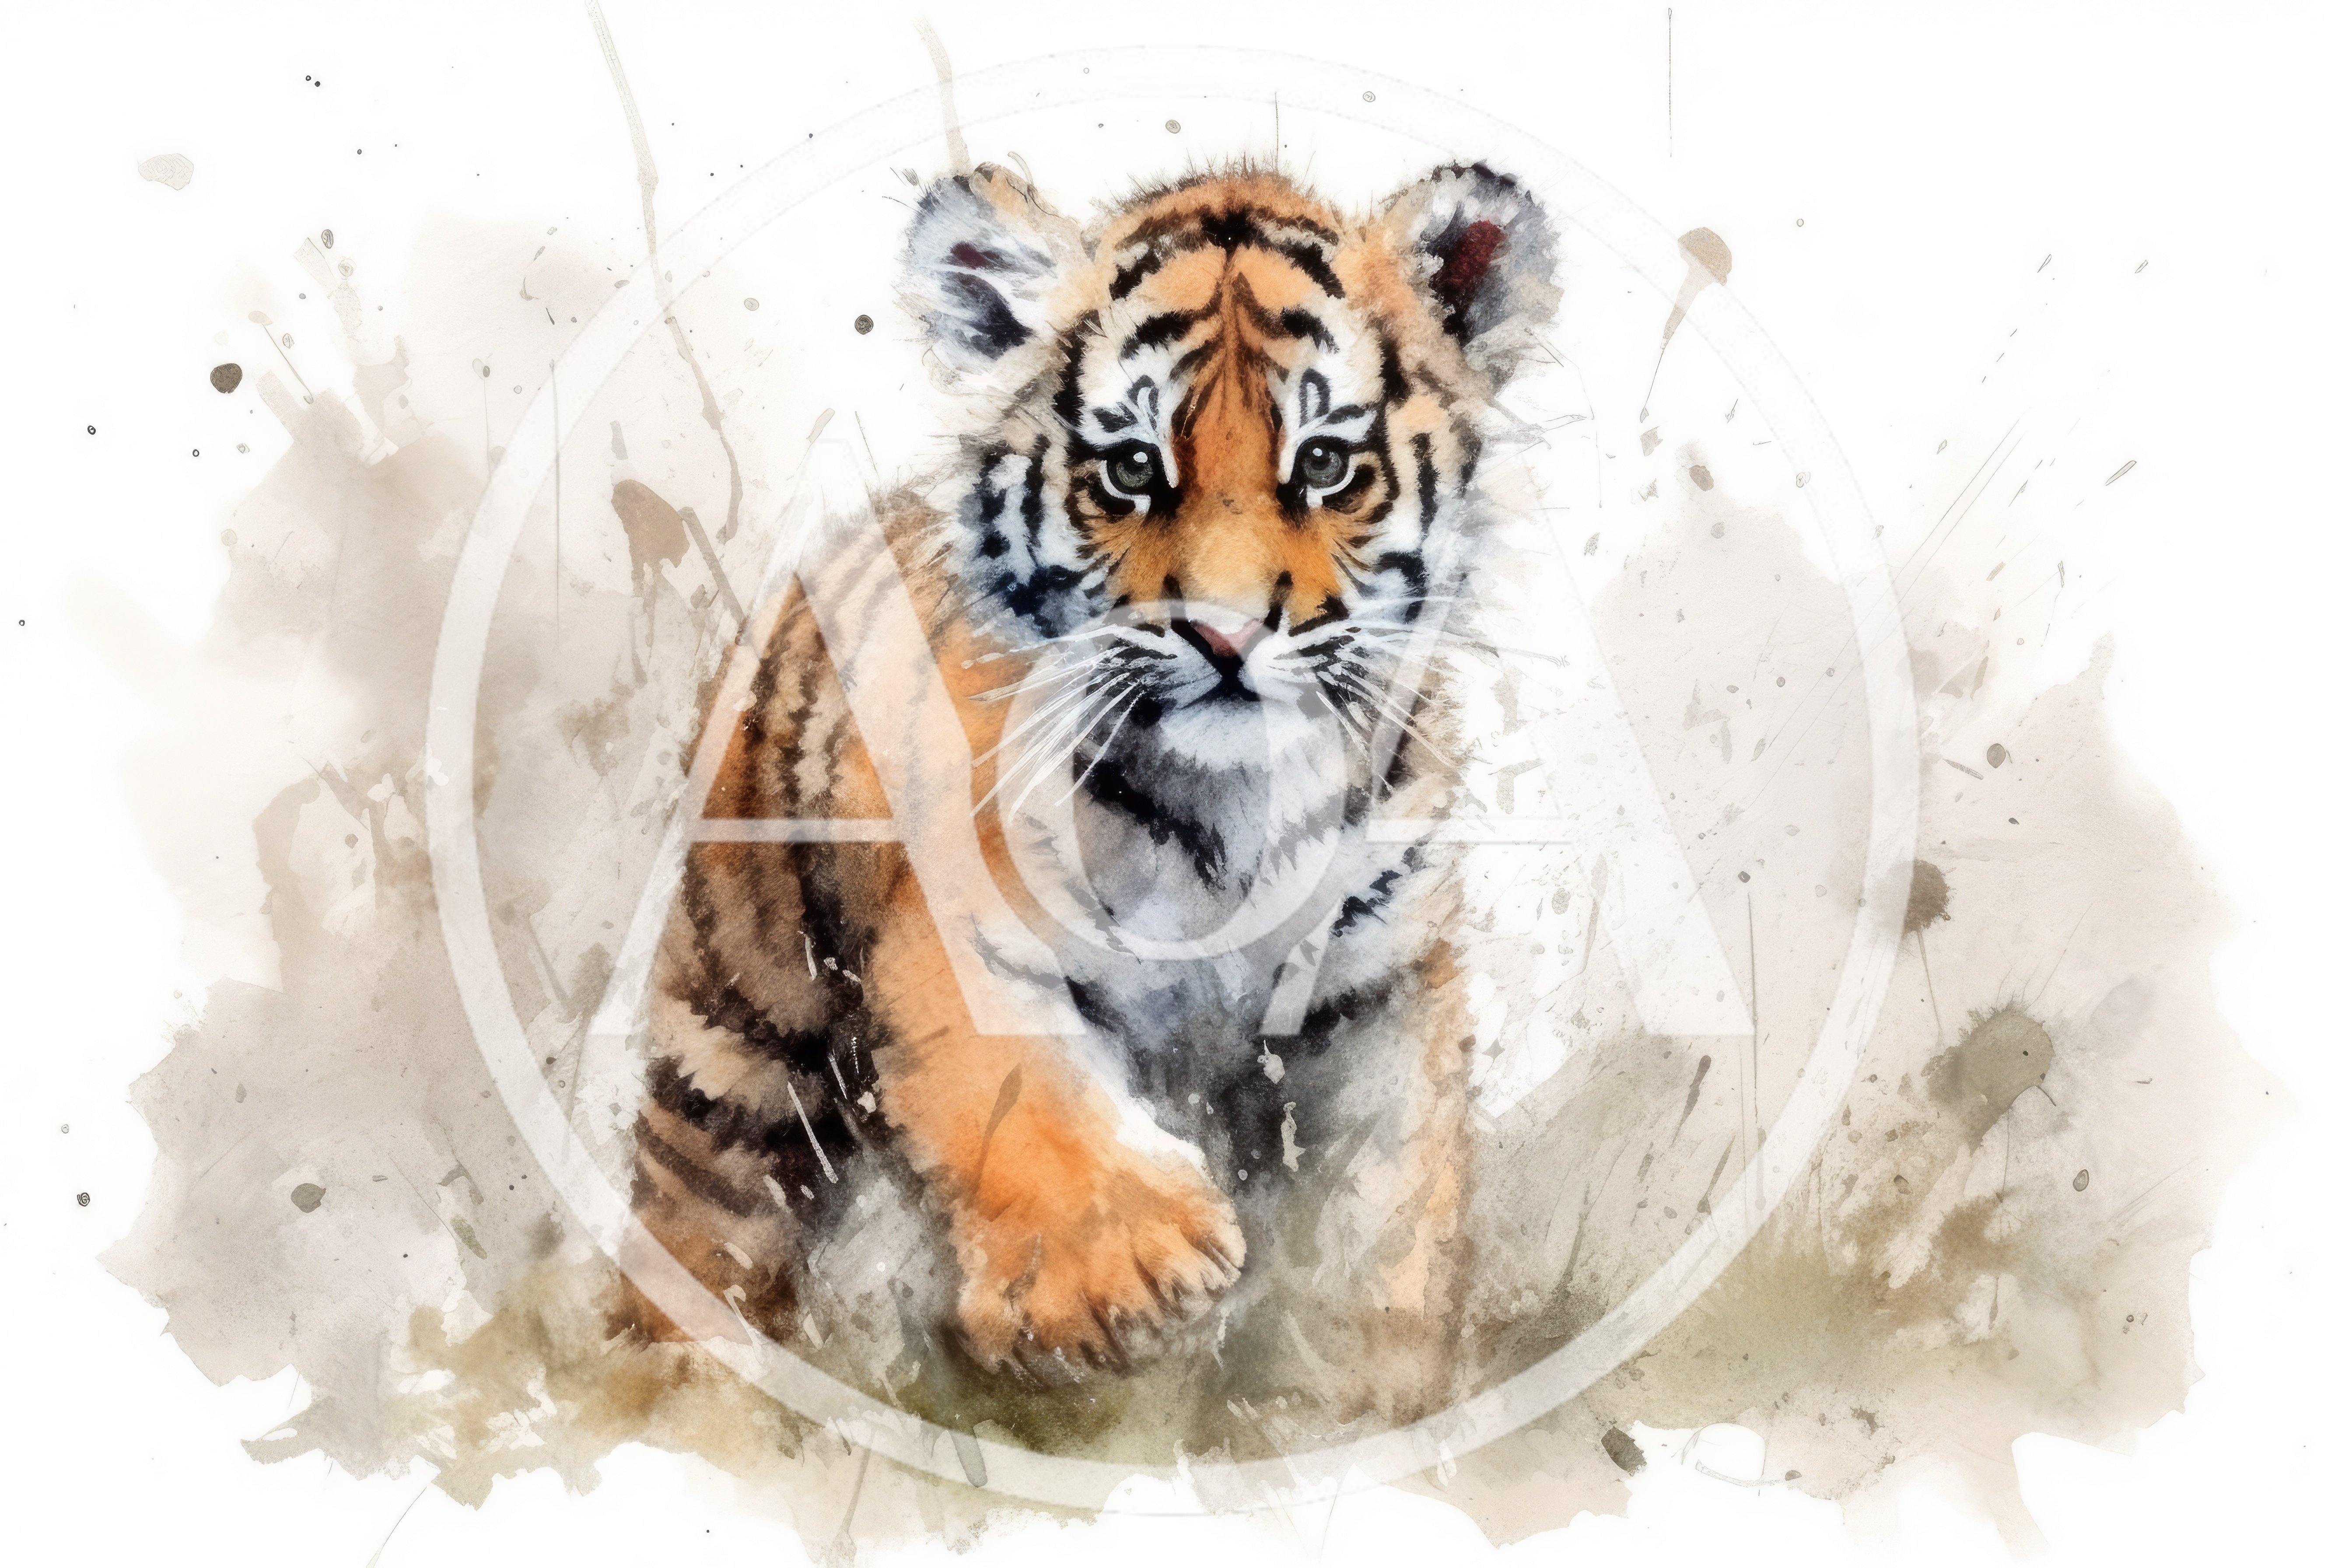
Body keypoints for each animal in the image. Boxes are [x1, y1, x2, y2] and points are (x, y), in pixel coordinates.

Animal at [622, 160, 1560, 1409]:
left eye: (1323, 464)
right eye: (1131, 469)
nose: (1223, 636)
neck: (1234, 812)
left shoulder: (1377, 982)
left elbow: (1381, 1201)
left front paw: (1351, 1381)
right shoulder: (962, 928)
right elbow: (1023, 1095)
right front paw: (1124, 1274)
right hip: (738, 1040)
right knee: (700, 1225)